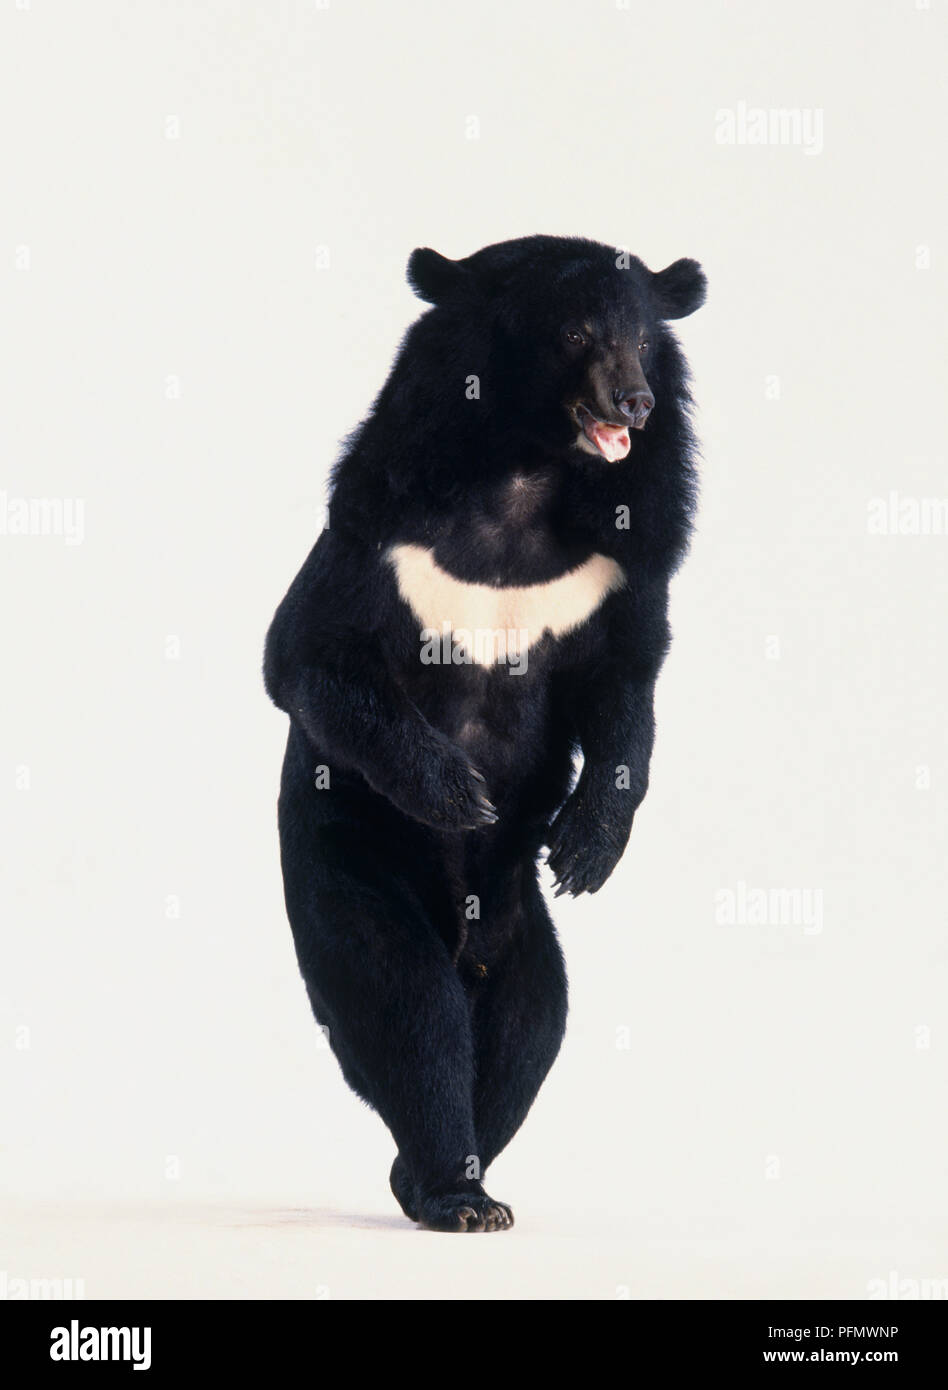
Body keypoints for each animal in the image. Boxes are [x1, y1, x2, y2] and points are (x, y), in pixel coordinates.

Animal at [263, 235, 706, 1232]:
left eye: (643, 342)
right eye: (578, 334)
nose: (635, 403)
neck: (526, 472)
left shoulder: (622, 560)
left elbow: (627, 685)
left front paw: (584, 849)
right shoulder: (380, 533)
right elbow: (305, 655)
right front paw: (459, 792)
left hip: (519, 932)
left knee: (528, 1029)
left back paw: (448, 1179)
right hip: (348, 867)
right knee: (411, 1008)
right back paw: (449, 1192)